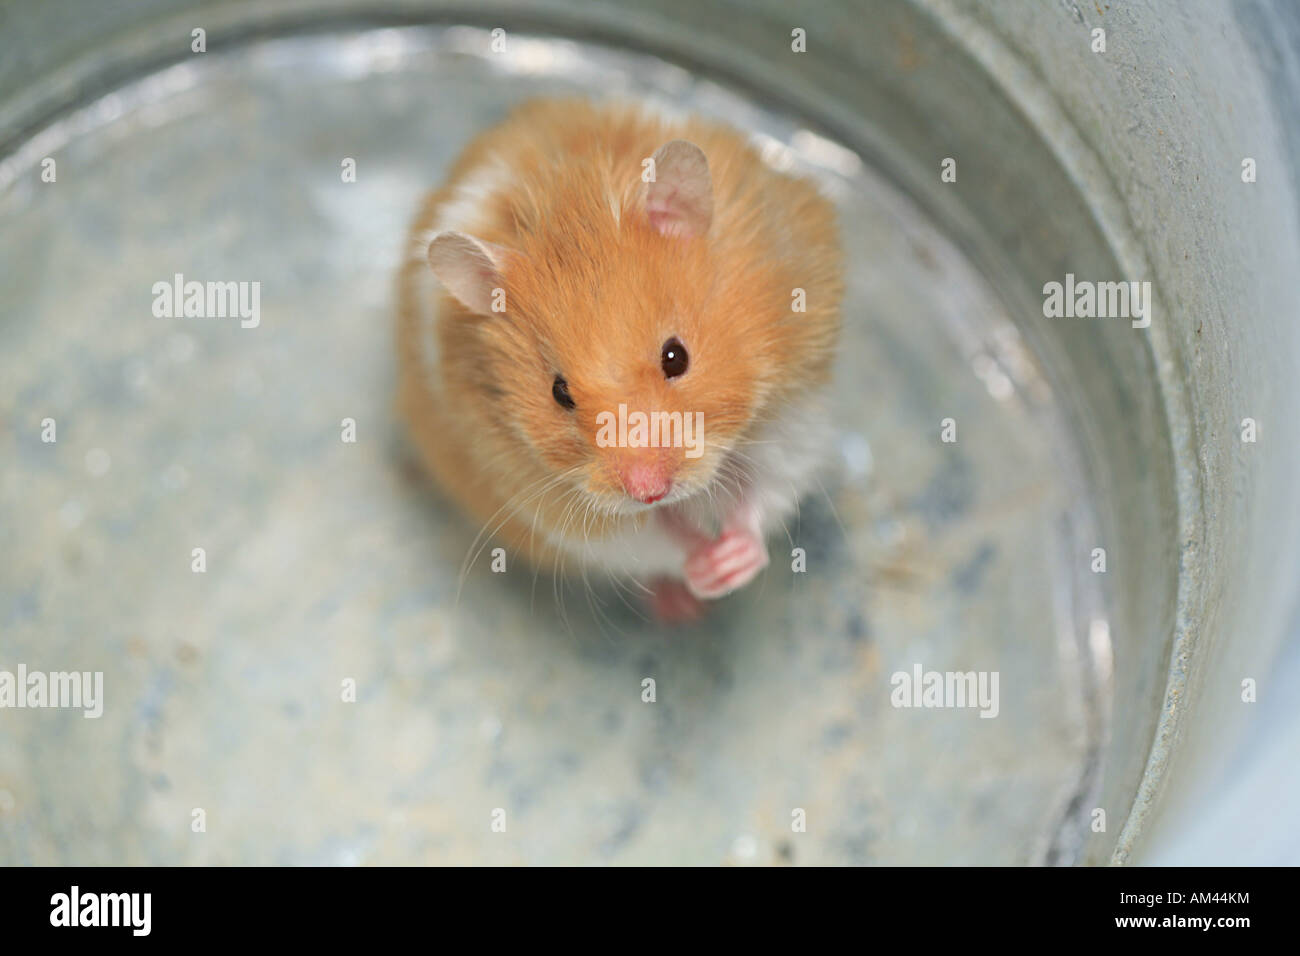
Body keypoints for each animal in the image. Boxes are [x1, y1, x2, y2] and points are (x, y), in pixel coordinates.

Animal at [397, 98, 843, 622]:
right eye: (559, 393)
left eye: (676, 356)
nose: (648, 491)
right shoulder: (552, 504)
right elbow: (648, 540)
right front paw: (706, 572)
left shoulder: (796, 406)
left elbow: (768, 487)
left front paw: (732, 563)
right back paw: (680, 609)